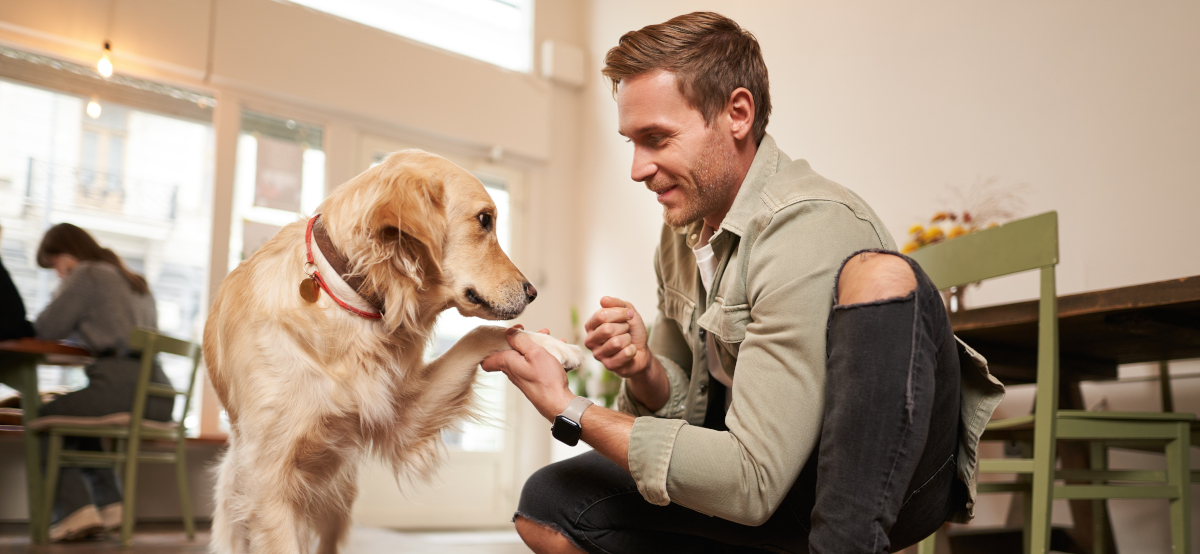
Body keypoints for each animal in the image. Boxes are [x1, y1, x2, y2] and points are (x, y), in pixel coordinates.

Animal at [201, 150, 580, 554]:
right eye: (484, 220)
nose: (532, 292)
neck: (350, 298)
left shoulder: (404, 416)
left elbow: (482, 333)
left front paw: (553, 347)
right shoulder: (268, 484)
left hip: (338, 497)